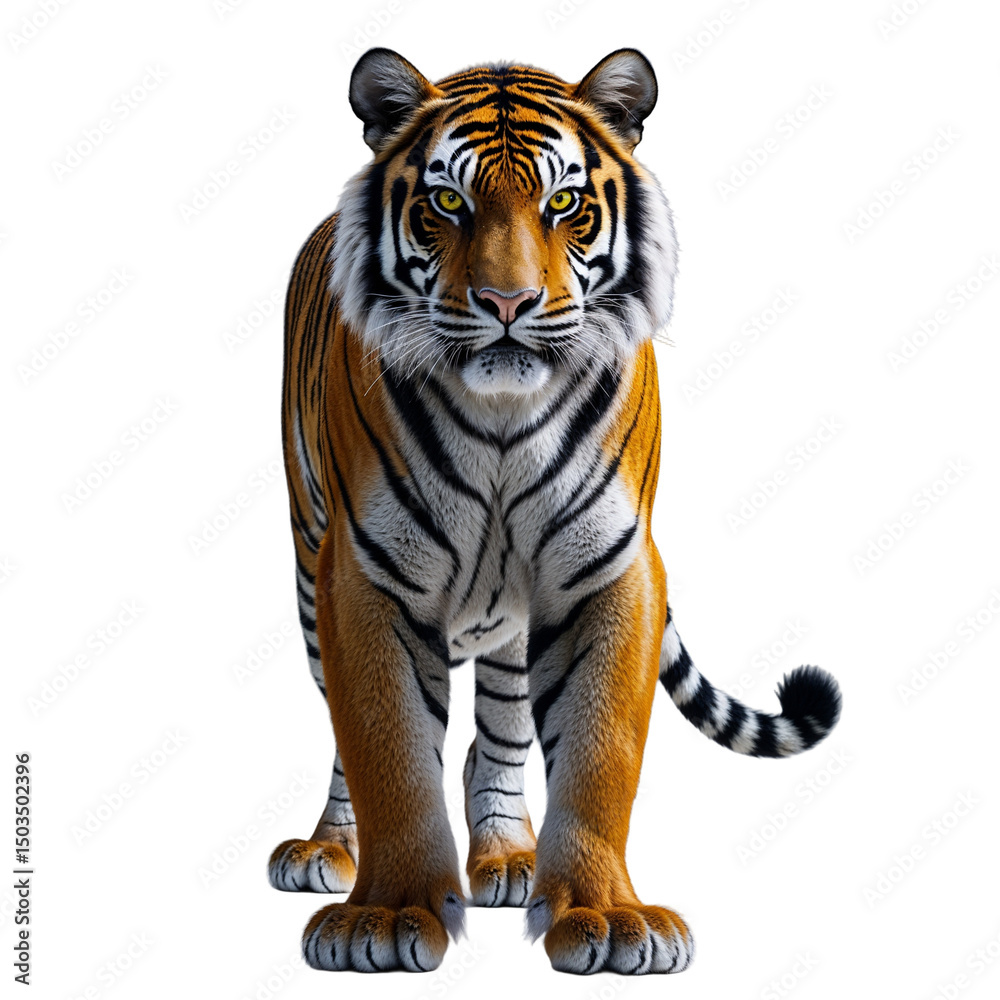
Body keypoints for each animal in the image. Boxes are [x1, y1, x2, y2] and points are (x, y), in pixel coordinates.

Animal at [267, 46, 842, 976]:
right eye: (448, 202)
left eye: (563, 203)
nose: (507, 305)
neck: (502, 423)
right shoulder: (362, 574)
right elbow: (387, 749)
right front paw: (386, 916)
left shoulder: (609, 568)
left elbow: (601, 752)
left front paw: (606, 917)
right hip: (308, 556)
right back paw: (329, 848)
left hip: (508, 613)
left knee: (497, 731)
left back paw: (507, 856)